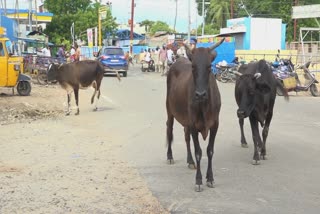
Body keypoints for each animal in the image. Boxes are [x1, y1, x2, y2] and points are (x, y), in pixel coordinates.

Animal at [166, 37, 224, 191]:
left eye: (209, 67)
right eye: (193, 67)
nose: (200, 94)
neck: (204, 105)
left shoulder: (215, 125)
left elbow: (210, 151)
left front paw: (210, 178)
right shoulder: (193, 125)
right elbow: (199, 152)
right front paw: (198, 180)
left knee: (186, 137)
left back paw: (190, 161)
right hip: (169, 111)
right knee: (169, 131)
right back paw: (170, 156)